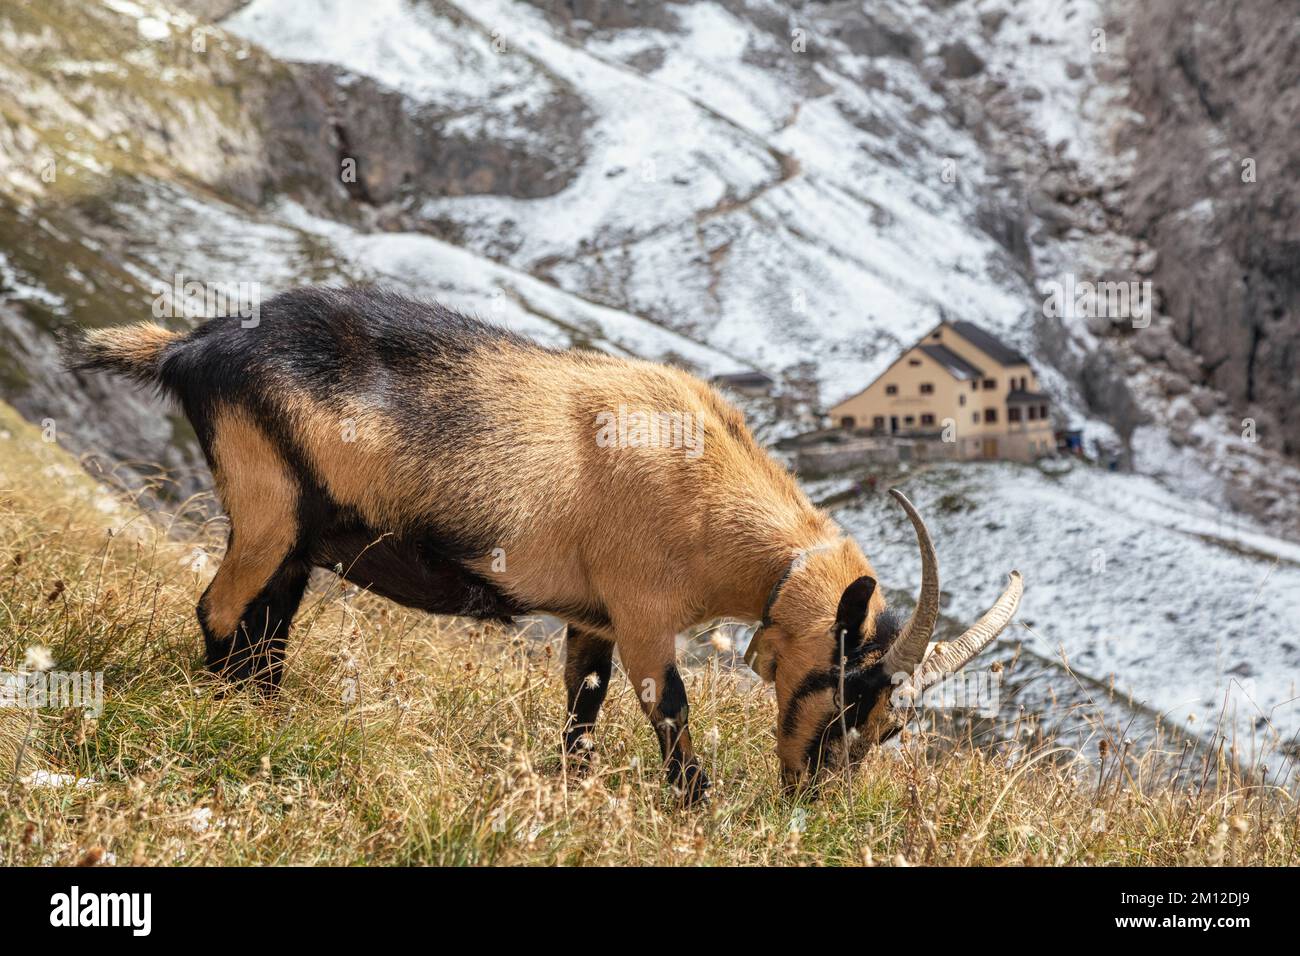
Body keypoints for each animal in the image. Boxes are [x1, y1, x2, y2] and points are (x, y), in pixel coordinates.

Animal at [72, 287, 1021, 801]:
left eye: (890, 730)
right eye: (848, 694)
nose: (815, 805)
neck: (706, 482)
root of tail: (190, 345)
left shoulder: (591, 617)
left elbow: (582, 711)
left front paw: (571, 788)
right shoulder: (641, 613)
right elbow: (670, 713)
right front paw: (698, 811)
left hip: (301, 535)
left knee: (265, 629)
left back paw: (265, 718)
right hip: (269, 504)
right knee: (220, 608)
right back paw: (225, 719)